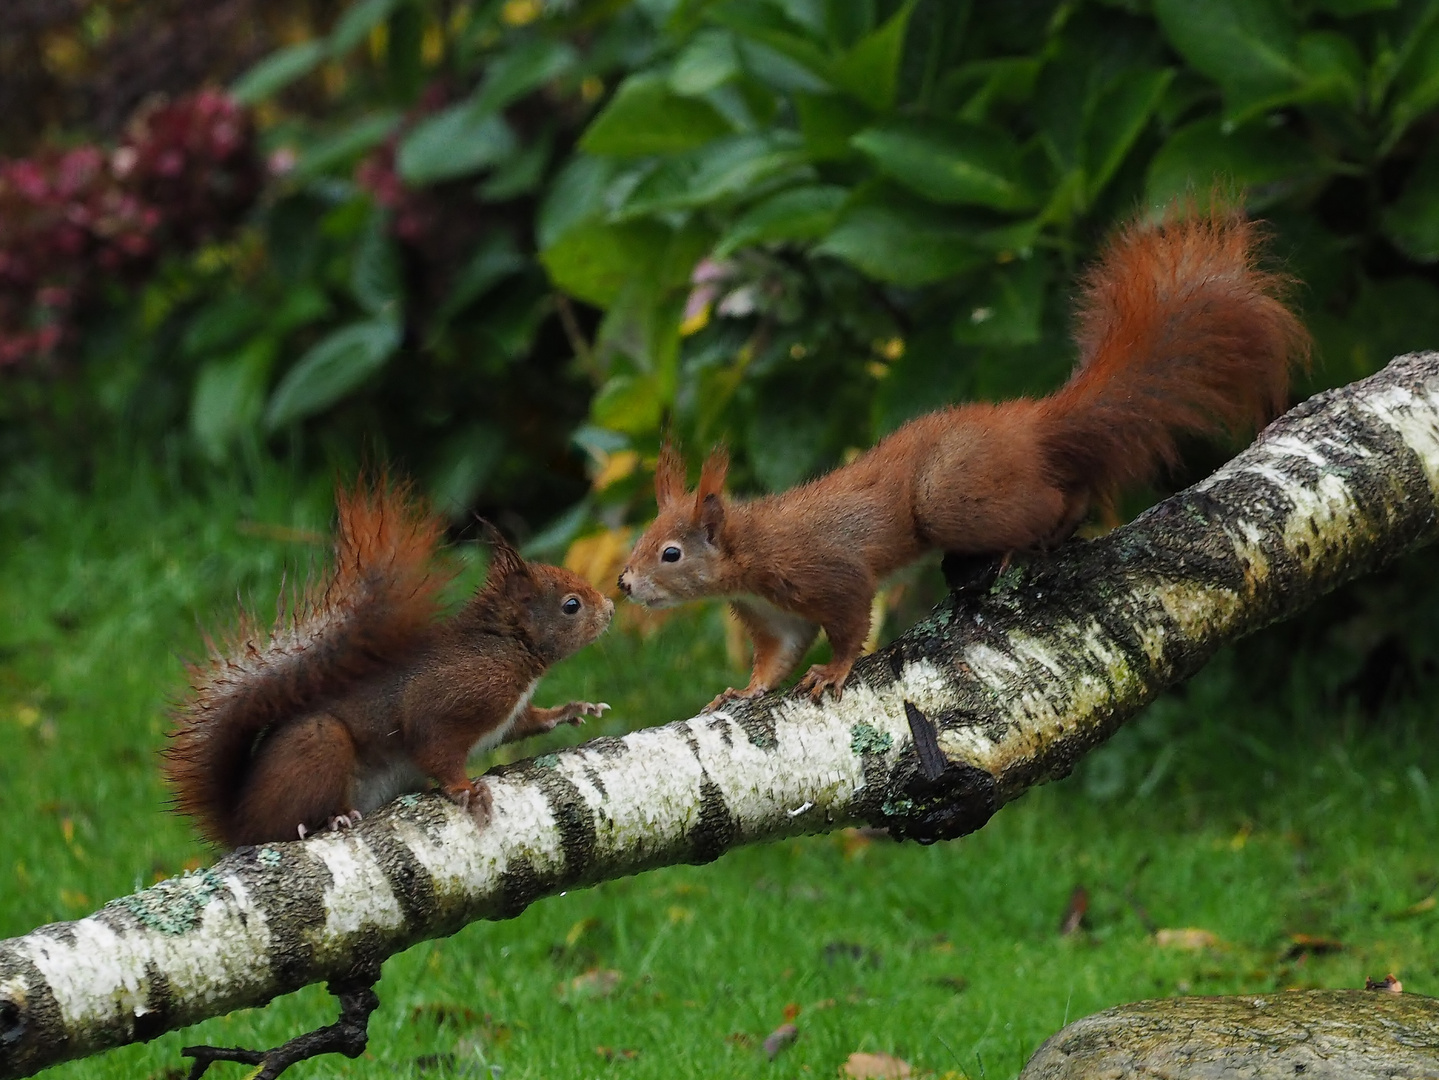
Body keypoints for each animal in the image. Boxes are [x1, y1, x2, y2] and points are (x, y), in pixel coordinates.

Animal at [164, 483, 613, 851]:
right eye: (571, 605)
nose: (610, 609)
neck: (505, 648)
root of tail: (240, 823)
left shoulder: (508, 714)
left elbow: (528, 723)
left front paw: (574, 710)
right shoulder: (455, 696)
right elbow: (434, 744)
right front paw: (467, 790)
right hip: (319, 745)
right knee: (284, 823)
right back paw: (328, 819)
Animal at [613, 204, 1312, 710]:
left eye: (670, 553)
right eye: (643, 540)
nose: (623, 584)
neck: (748, 553)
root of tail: (1028, 426)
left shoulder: (822, 570)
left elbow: (849, 618)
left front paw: (832, 672)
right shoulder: (772, 617)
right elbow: (775, 658)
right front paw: (744, 690)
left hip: (949, 499)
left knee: (1046, 503)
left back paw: (1030, 541)